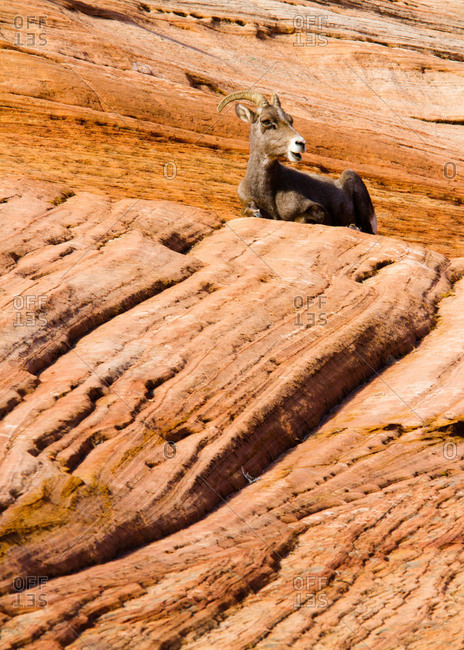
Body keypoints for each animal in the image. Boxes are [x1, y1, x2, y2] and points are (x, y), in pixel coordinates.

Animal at [217, 90, 377, 234]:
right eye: (266, 121)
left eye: (290, 120)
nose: (301, 143)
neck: (265, 192)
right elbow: (246, 211)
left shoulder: (317, 210)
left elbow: (299, 219)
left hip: (352, 180)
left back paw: (353, 227)